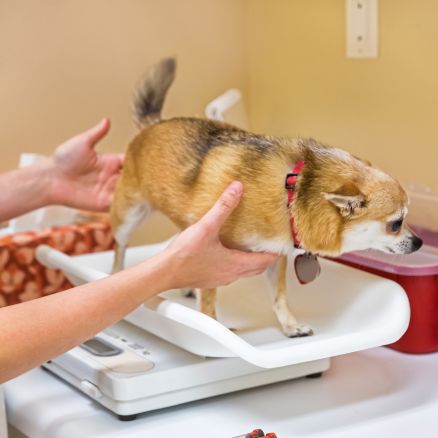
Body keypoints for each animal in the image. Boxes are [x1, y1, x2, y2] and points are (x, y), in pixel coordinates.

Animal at [111, 58, 422, 338]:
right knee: (120, 248)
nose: (419, 242)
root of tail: (153, 125)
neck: (291, 192)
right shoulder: (210, 253)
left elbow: (279, 297)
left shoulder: (275, 256)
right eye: (396, 223)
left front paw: (290, 325)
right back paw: (116, 274)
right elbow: (209, 300)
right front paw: (213, 328)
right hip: (128, 214)